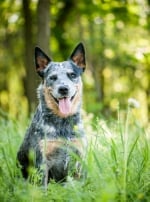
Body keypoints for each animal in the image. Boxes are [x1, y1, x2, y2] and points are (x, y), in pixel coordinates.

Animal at [17, 42, 86, 186]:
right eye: (53, 77)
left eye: (72, 75)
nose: (63, 89)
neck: (63, 124)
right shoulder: (42, 159)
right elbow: (42, 185)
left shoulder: (79, 157)